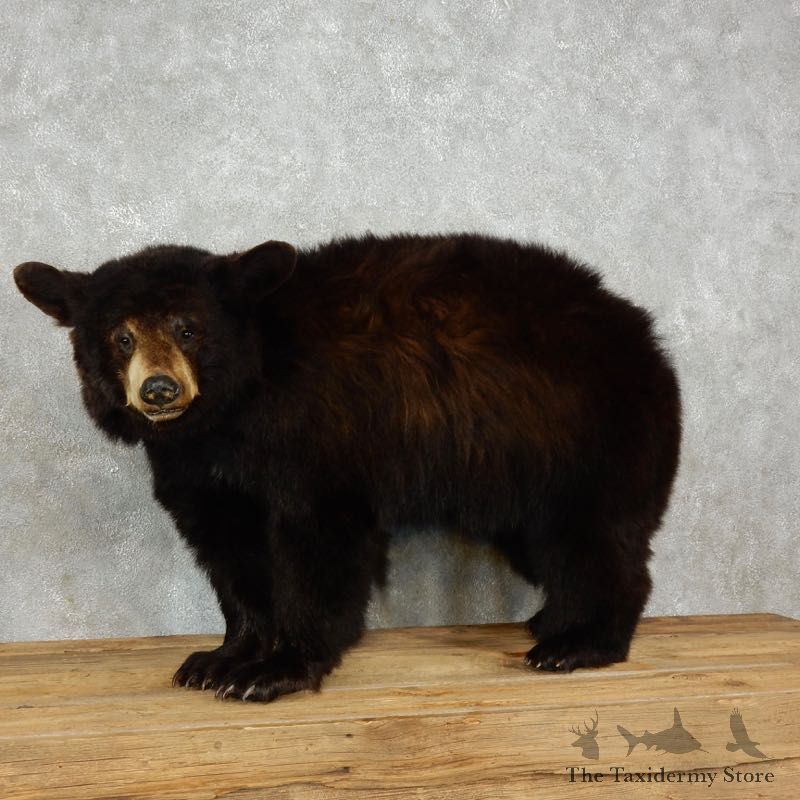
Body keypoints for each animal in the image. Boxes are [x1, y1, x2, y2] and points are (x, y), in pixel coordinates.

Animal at [13, 233, 681, 703]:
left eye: (188, 329)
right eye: (120, 336)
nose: (158, 389)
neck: (233, 410)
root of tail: (640, 330)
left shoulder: (314, 437)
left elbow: (317, 544)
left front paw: (278, 668)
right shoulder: (200, 472)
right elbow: (230, 555)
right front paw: (222, 658)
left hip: (581, 437)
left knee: (594, 538)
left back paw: (581, 642)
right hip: (512, 476)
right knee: (545, 542)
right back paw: (550, 619)